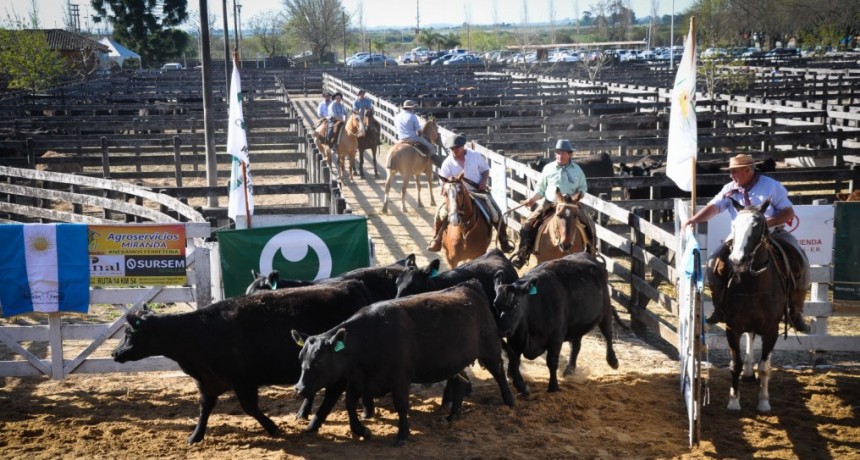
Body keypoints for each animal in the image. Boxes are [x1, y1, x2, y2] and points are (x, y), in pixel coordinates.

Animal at [110, 278, 370, 444]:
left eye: (129, 333)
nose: (114, 354)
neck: (198, 332)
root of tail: (352, 285)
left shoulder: (244, 381)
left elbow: (249, 407)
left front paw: (273, 427)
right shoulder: (207, 382)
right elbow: (204, 409)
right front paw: (195, 436)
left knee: (335, 391)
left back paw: (316, 423)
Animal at [292, 280, 512, 446]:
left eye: (319, 360)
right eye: (301, 358)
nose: (299, 388)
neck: (369, 338)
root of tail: (469, 286)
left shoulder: (399, 379)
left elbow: (401, 406)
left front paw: (402, 435)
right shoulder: (357, 379)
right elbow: (349, 405)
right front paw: (362, 431)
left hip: (490, 350)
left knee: (500, 373)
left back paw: (509, 401)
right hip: (453, 364)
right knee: (460, 383)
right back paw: (452, 417)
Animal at [490, 252, 620, 396]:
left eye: (516, 304)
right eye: (495, 305)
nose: (502, 330)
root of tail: (587, 255)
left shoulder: (556, 338)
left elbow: (552, 362)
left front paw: (553, 386)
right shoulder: (515, 341)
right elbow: (514, 361)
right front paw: (518, 382)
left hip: (605, 311)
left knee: (608, 334)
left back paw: (613, 361)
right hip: (576, 324)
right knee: (576, 345)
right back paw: (570, 369)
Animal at [712, 198, 800, 414]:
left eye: (757, 226)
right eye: (734, 225)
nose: (737, 260)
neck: (753, 285)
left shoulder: (771, 330)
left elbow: (765, 367)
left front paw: (764, 402)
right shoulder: (732, 327)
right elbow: (735, 364)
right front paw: (734, 401)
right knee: (750, 336)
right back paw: (748, 372)